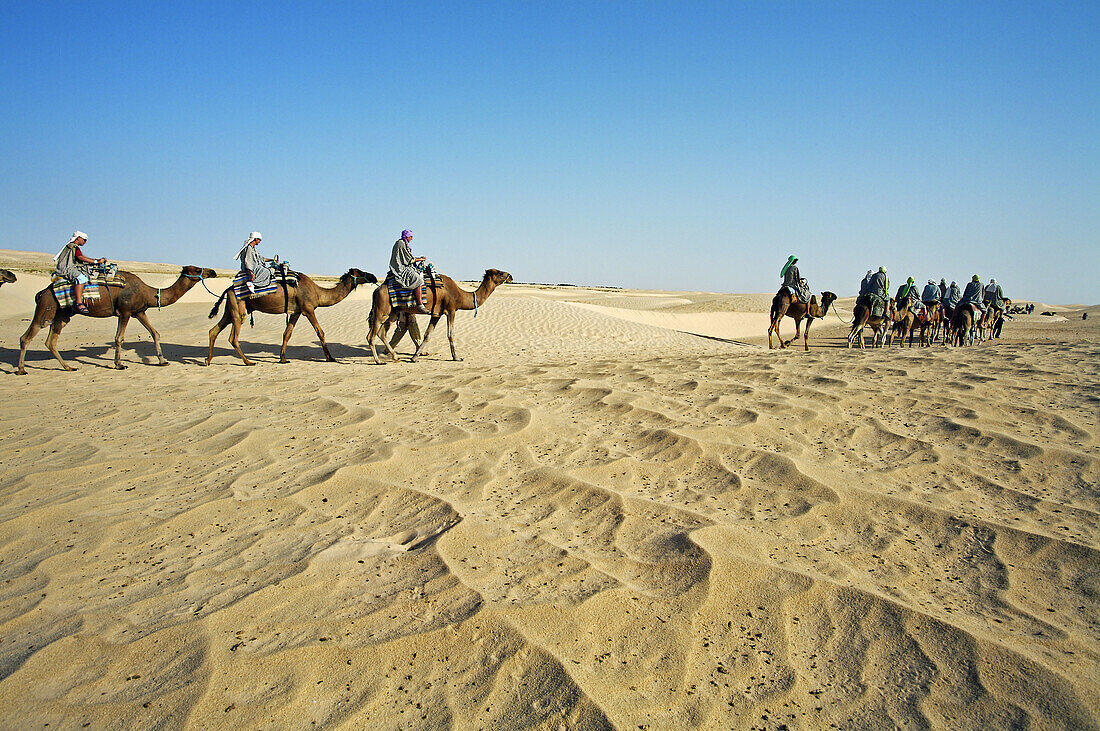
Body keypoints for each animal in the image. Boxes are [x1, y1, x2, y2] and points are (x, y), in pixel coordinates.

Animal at [16, 263, 218, 375]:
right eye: (197, 269)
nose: (213, 272)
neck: (148, 292)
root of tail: (41, 293)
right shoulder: (125, 311)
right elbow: (119, 338)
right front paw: (119, 364)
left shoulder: (139, 311)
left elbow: (155, 333)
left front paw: (162, 361)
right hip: (46, 309)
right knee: (26, 337)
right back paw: (21, 370)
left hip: (62, 315)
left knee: (51, 341)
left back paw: (69, 368)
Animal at [206, 268, 378, 364]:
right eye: (360, 272)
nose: (374, 277)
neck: (318, 293)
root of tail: (228, 289)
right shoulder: (308, 309)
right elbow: (320, 332)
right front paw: (330, 358)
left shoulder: (296, 312)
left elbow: (287, 334)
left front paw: (283, 358)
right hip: (238, 309)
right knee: (233, 338)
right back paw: (248, 362)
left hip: (230, 310)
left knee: (213, 331)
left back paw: (208, 360)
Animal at [365, 268, 510, 362]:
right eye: (500, 272)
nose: (511, 275)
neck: (460, 295)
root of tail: (376, 290)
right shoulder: (451, 310)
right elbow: (451, 335)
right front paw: (456, 357)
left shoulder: (436, 314)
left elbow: (427, 335)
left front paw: (414, 357)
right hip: (381, 311)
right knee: (371, 336)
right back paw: (378, 361)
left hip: (392, 313)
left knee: (381, 333)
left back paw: (395, 356)